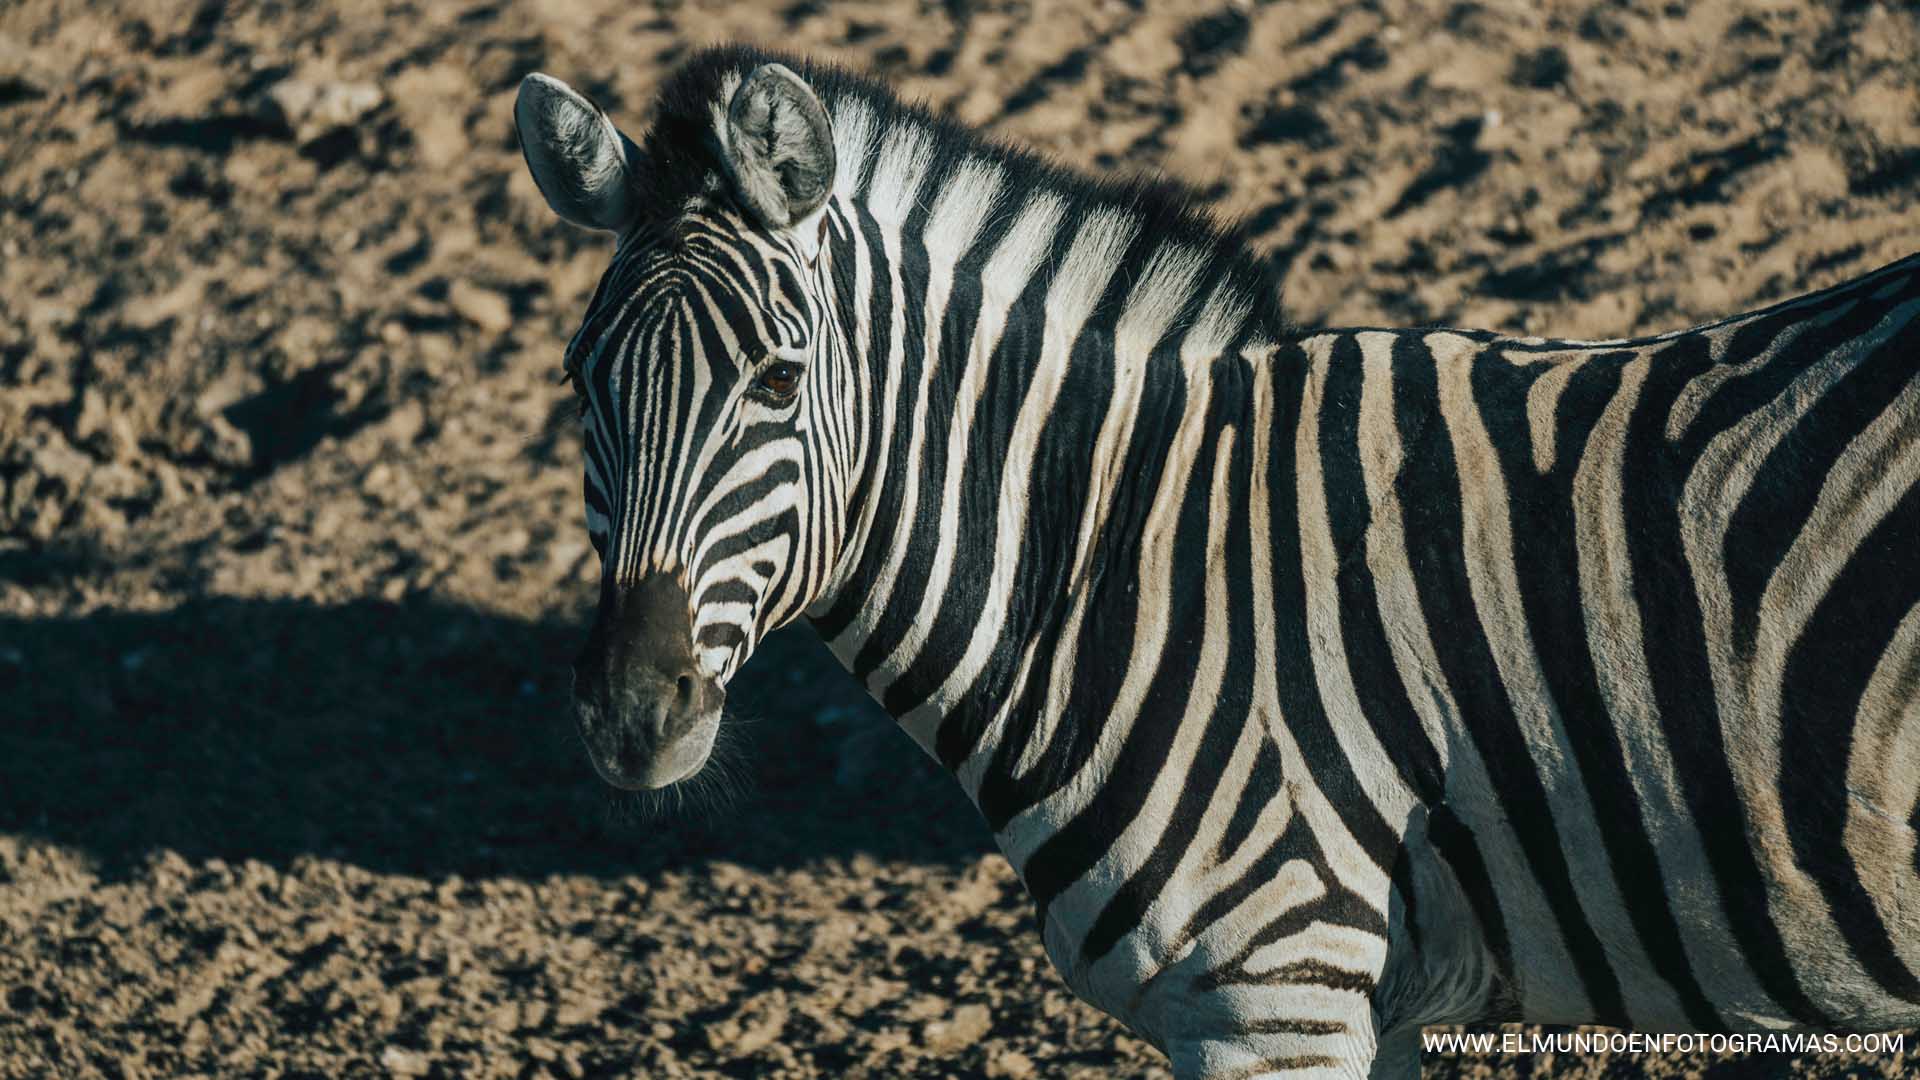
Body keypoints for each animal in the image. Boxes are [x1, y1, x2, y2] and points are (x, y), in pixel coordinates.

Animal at [514, 48, 1920, 1076]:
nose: (629, 715)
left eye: (776, 382)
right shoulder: (1368, 1001)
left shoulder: (1275, 991)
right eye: (580, 387)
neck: (1125, 559)